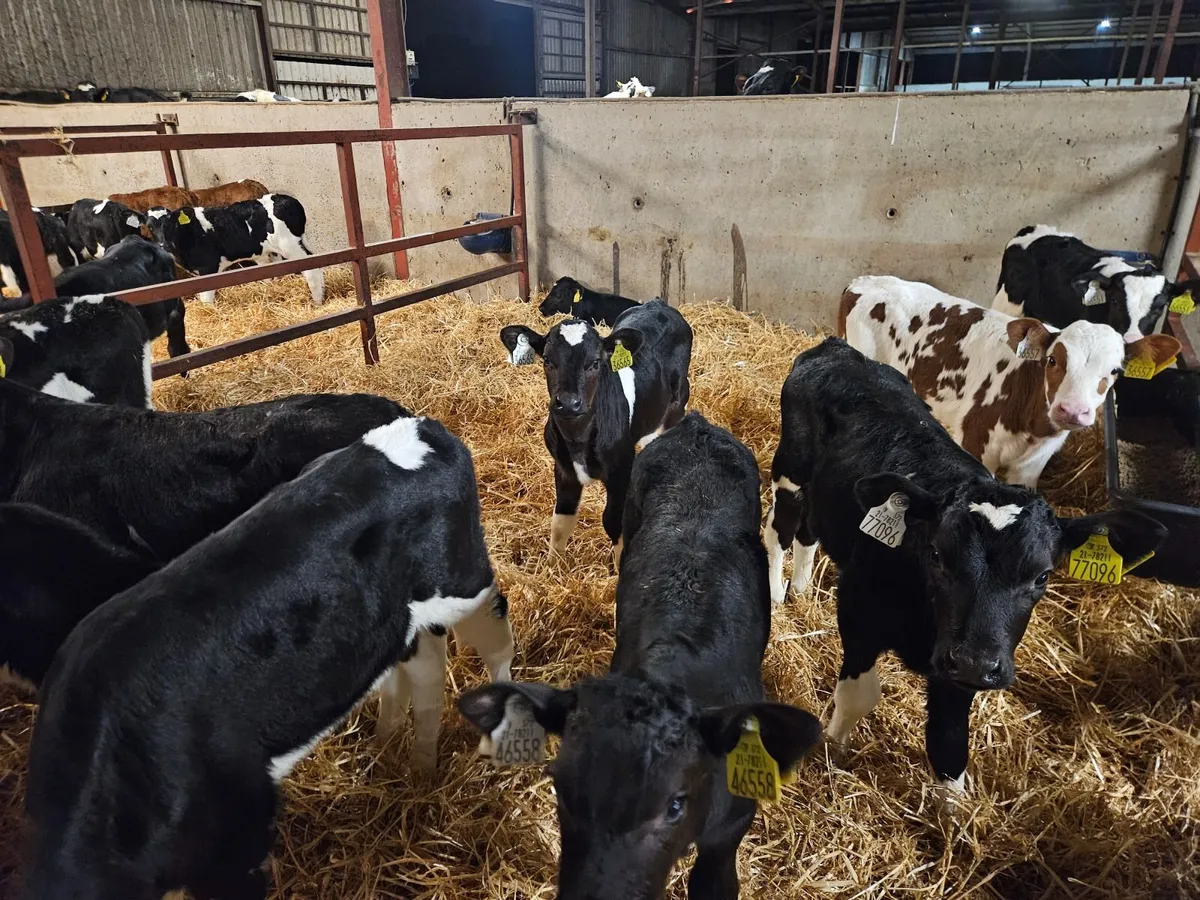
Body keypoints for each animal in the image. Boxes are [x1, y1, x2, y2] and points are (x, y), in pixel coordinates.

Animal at [24, 414, 514, 900]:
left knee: (495, 627)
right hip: (399, 627)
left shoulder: (240, 835)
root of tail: (424, 426)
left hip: (464, 581)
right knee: (421, 672)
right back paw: (400, 751)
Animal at [156, 194, 324, 305]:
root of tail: (288, 199)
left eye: (173, 225)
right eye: (152, 228)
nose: (164, 245)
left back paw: (317, 302)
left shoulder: (208, 268)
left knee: (312, 270)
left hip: (290, 245)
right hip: (294, 244)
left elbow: (206, 299)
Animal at [498, 299, 693, 564]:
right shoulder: (564, 468)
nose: (569, 403)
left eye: (595, 363)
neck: (577, 439)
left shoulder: (621, 472)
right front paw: (554, 566)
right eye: (547, 360)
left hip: (678, 404)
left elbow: (613, 522)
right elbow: (561, 521)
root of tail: (657, 303)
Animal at [764, 338, 1166, 805]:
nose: (974, 662)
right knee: (781, 530)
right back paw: (776, 592)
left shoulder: (971, 659)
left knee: (809, 533)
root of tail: (839, 348)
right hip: (790, 471)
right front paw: (833, 750)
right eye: (937, 555)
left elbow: (950, 738)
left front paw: (952, 811)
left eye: (1042, 576)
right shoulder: (859, 610)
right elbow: (860, 695)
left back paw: (801, 590)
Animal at [840, 275, 1181, 488]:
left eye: (1114, 371)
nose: (1072, 411)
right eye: (1053, 361)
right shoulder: (975, 443)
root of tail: (863, 282)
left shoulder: (1032, 467)